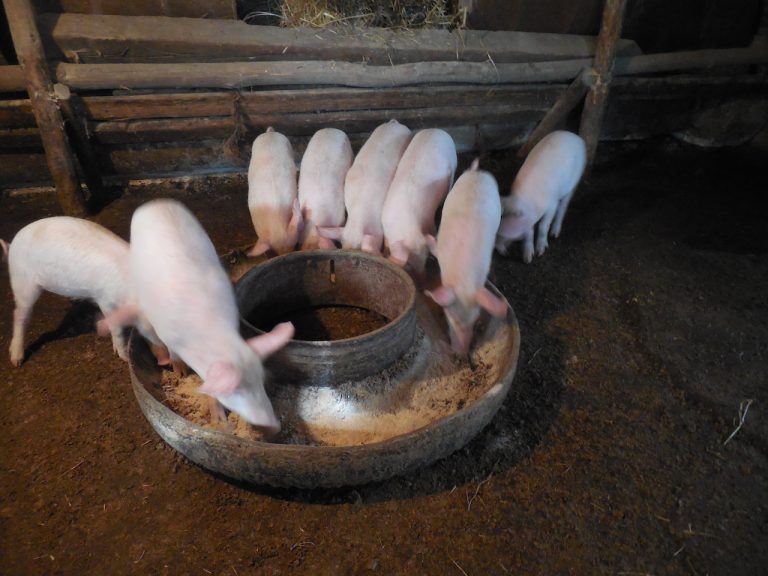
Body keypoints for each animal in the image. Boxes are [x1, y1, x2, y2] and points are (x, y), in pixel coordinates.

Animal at [1, 216, 168, 366]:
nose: (166, 361)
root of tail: (12, 244)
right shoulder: (106, 299)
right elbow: (117, 328)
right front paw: (125, 358)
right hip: (22, 281)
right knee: (20, 314)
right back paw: (16, 361)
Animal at [100, 199, 293, 433]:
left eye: (261, 379)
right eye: (235, 391)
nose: (274, 428)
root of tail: (156, 203)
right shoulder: (167, 334)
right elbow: (174, 355)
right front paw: (181, 374)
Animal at [381, 128, 457, 278]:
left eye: (426, 259)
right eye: (408, 265)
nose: (423, 279)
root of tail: (436, 130)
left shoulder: (430, 222)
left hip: (453, 161)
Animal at [425, 160, 509, 354]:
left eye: (475, 319)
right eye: (451, 317)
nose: (461, 353)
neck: (463, 278)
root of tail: (477, 172)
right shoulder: (441, 249)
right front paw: (425, 237)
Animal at [496, 130, 586, 263]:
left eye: (505, 235)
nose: (499, 252)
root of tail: (577, 137)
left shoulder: (552, 204)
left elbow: (543, 226)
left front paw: (540, 253)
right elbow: (529, 232)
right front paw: (528, 258)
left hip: (575, 179)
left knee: (563, 207)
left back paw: (554, 234)